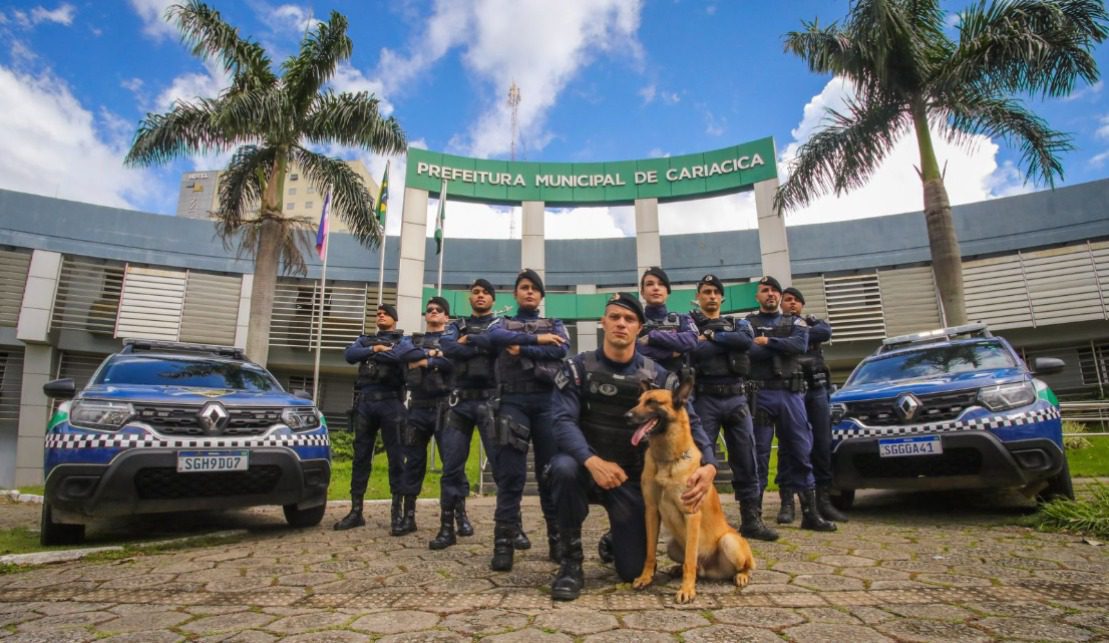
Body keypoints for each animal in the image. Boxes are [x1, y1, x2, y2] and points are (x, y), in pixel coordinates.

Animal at [625, 376, 754, 603]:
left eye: (652, 402)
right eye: (639, 401)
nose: (627, 416)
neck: (667, 460)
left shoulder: (691, 514)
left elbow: (690, 559)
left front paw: (687, 589)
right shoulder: (651, 511)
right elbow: (650, 552)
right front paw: (646, 578)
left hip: (729, 542)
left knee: (743, 566)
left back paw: (741, 576)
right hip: (672, 546)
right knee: (690, 563)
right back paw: (677, 570)